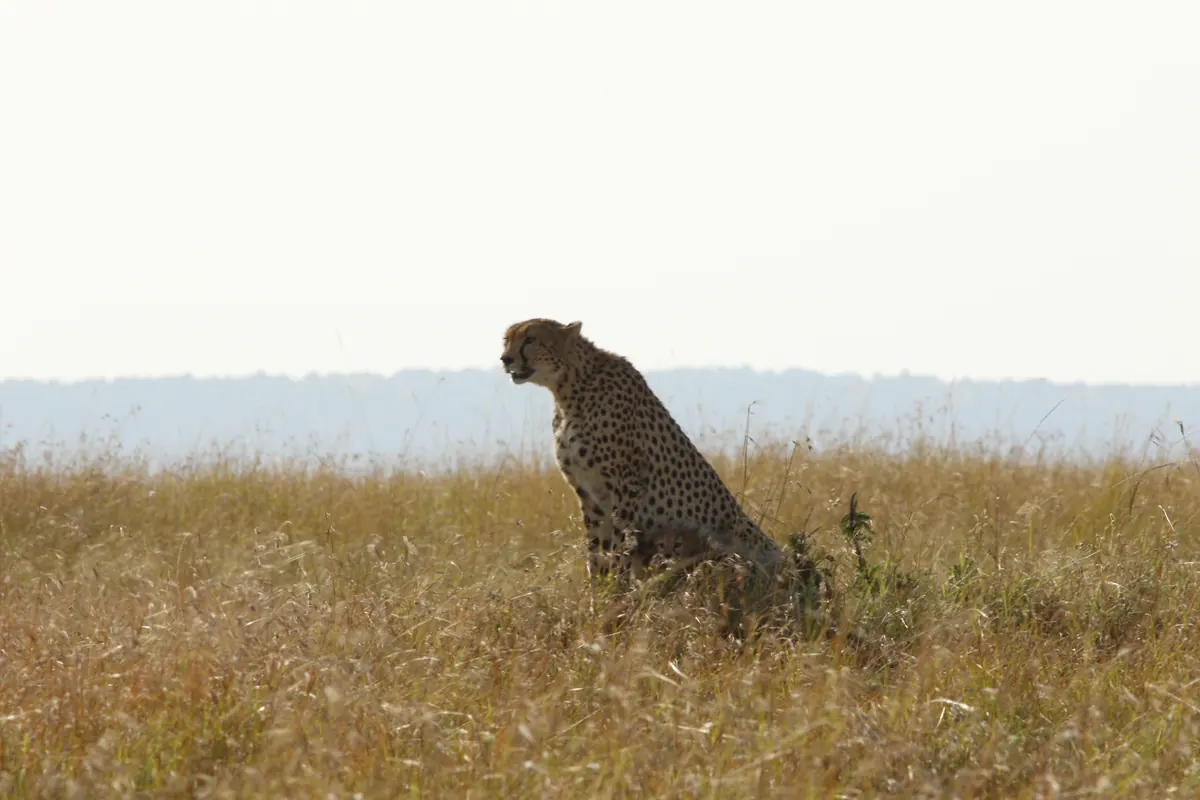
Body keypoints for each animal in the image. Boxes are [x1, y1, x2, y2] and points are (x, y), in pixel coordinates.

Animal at [500, 317, 784, 580]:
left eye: (530, 339)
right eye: (507, 339)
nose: (505, 359)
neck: (569, 389)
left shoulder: (626, 486)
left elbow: (619, 544)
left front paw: (617, 586)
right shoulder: (588, 492)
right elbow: (596, 548)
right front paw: (597, 590)